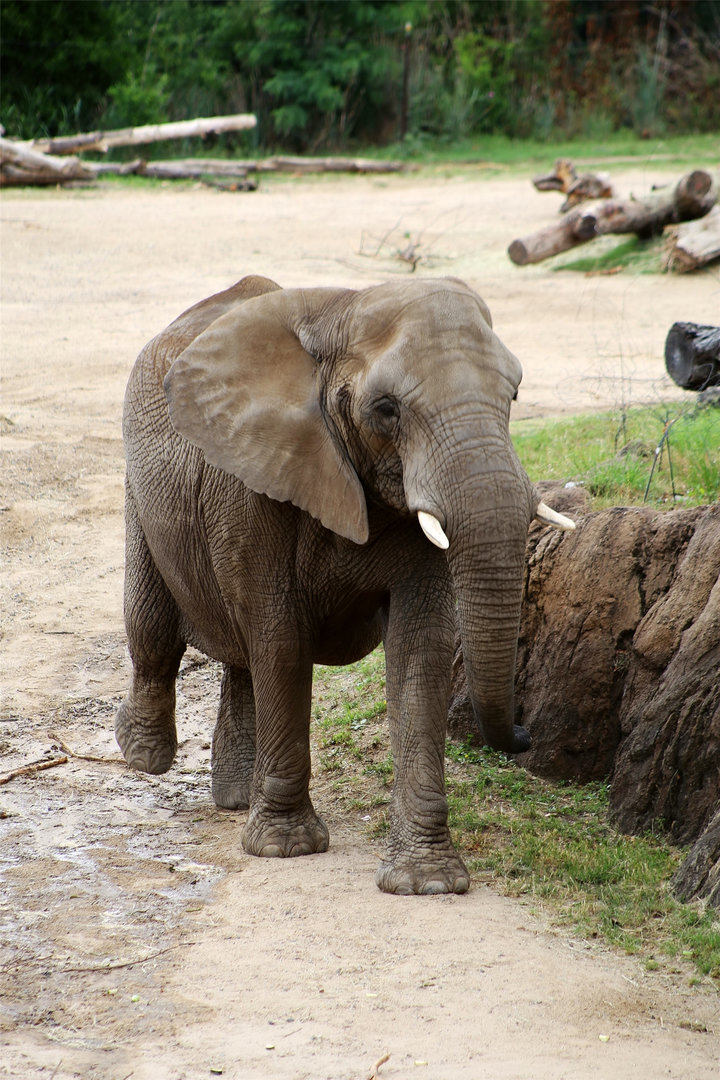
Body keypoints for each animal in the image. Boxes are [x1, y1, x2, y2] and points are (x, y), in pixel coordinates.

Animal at [116, 273, 574, 895]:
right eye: (385, 409)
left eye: (516, 396)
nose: (526, 734)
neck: (343, 309)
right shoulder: (252, 481)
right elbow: (281, 638)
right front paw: (286, 849)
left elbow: (422, 648)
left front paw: (427, 882)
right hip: (141, 488)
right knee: (155, 630)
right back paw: (141, 754)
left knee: (239, 655)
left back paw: (236, 798)